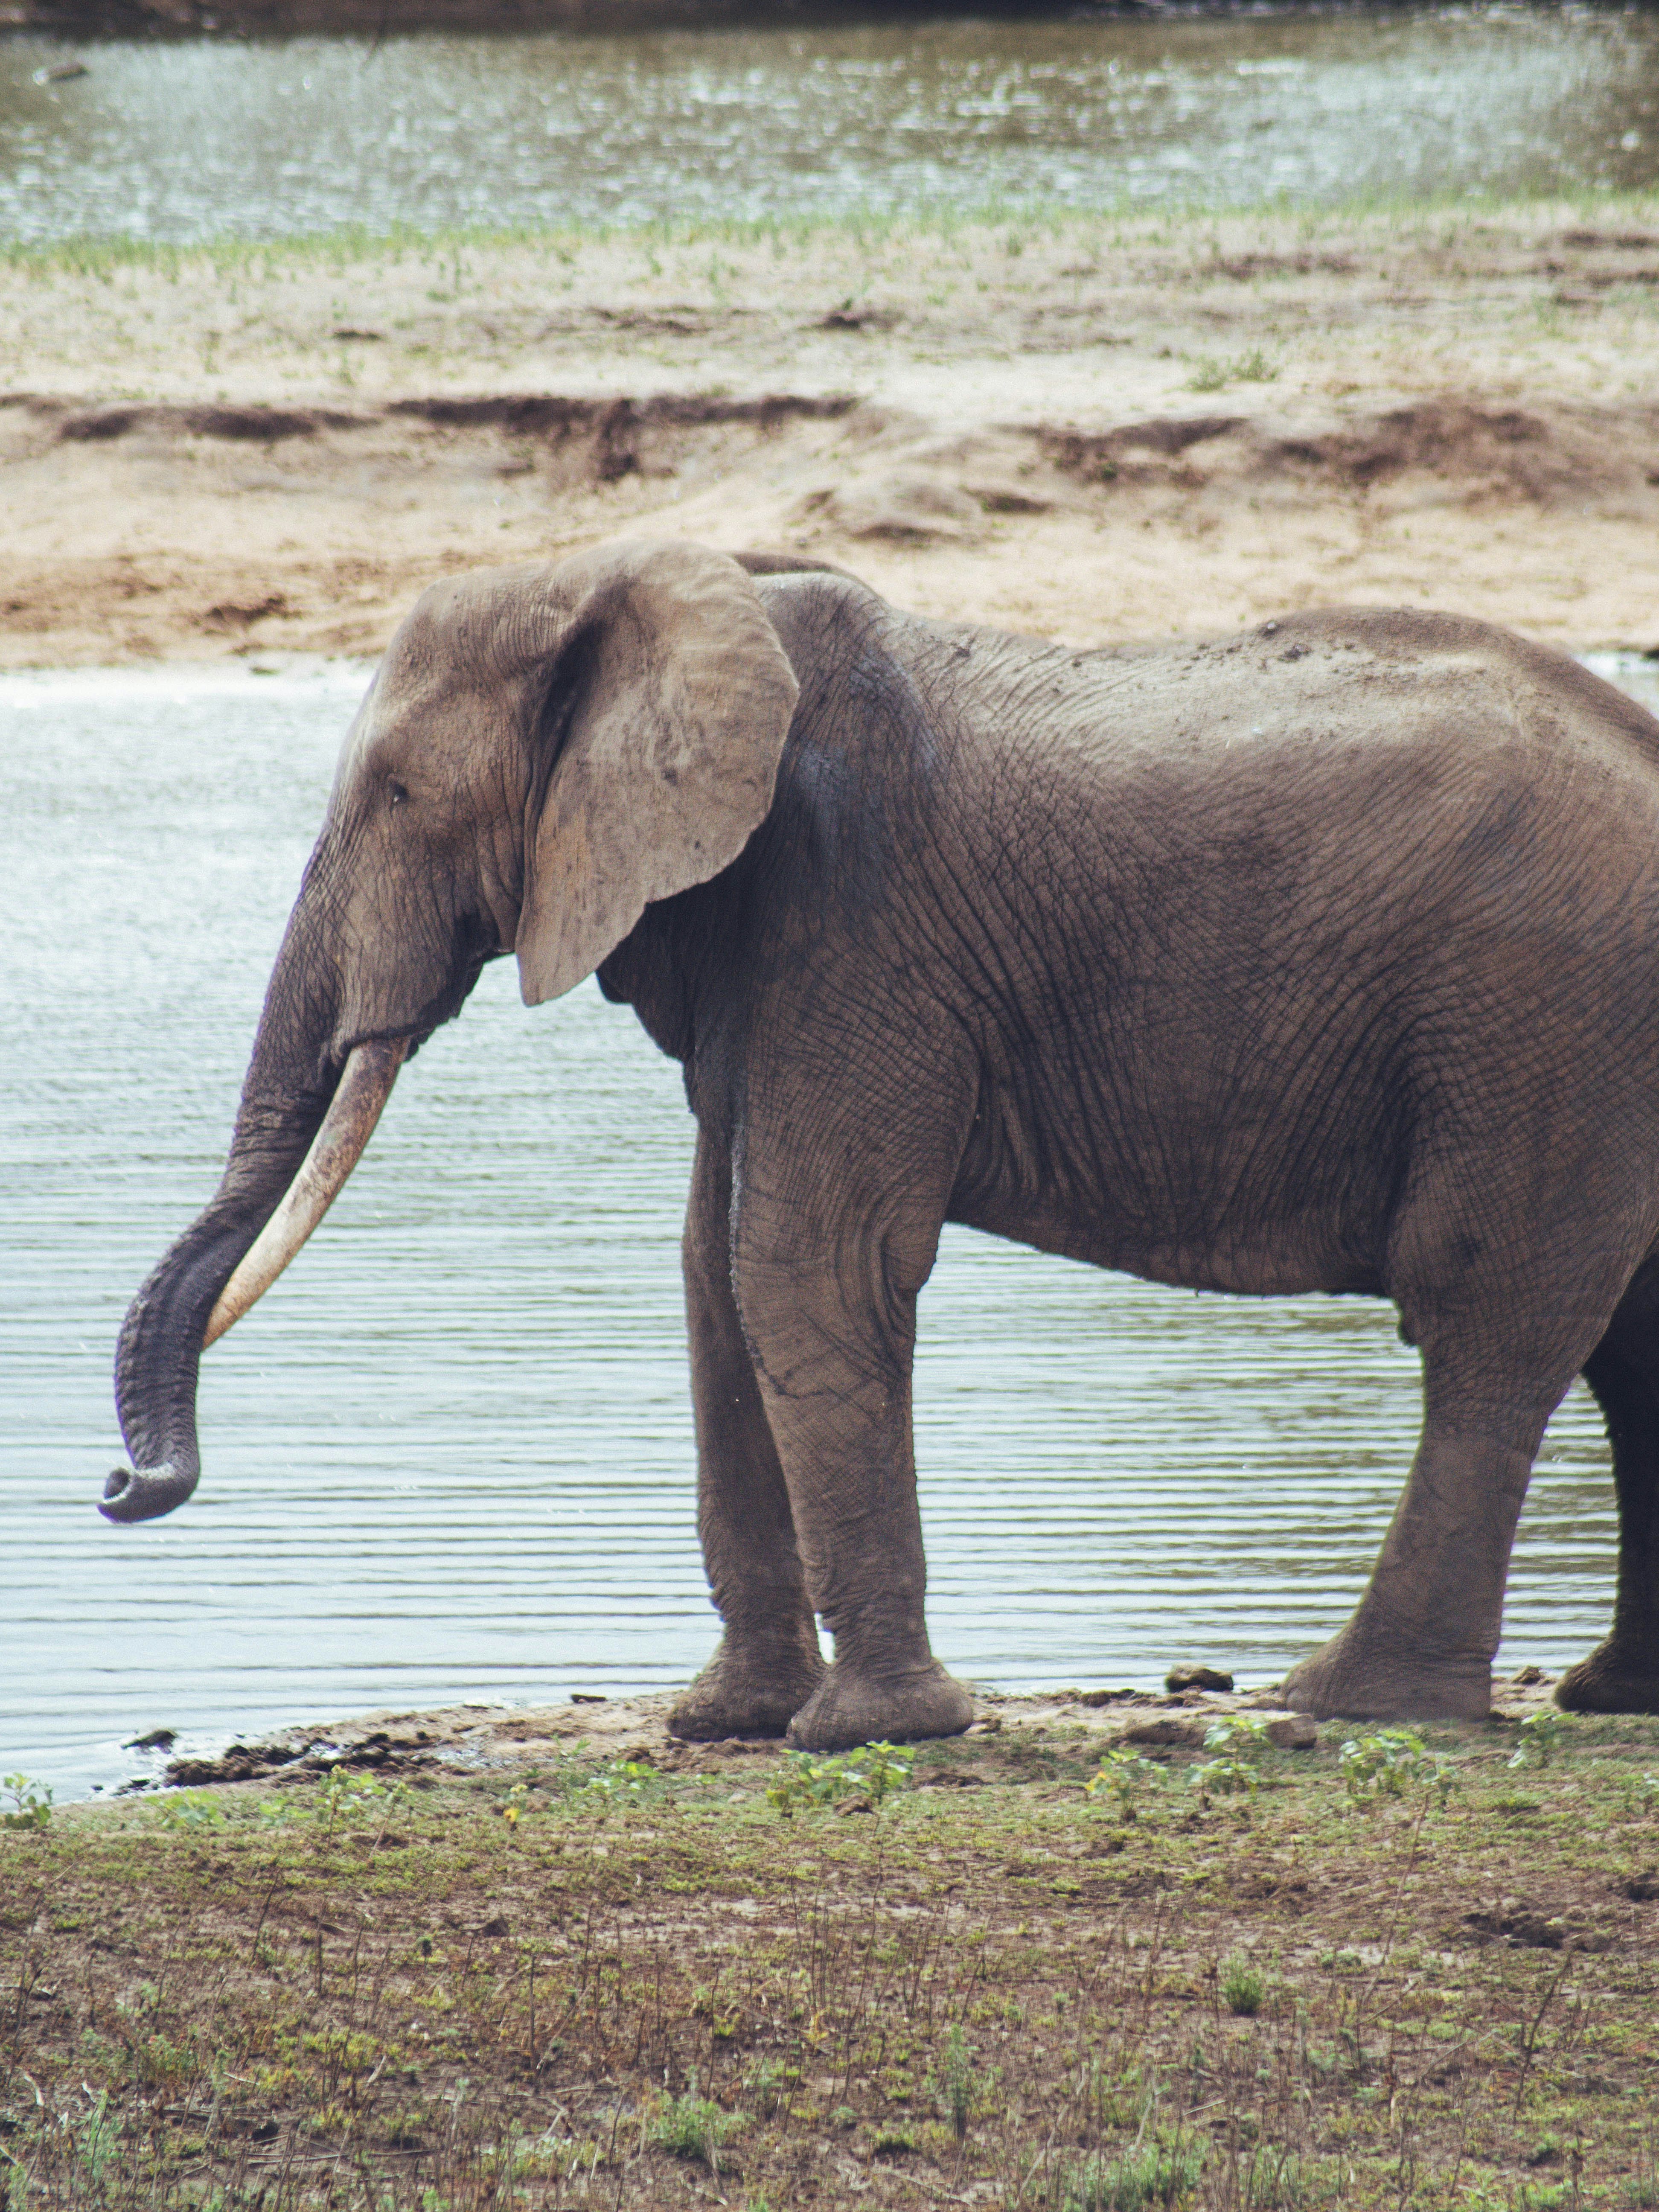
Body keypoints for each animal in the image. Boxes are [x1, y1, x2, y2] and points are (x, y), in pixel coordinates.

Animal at [102, 537, 1659, 1749]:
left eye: (401, 797)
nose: (124, 1490)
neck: (656, 586)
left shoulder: (853, 921)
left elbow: (801, 1263)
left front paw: (871, 1733)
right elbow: (710, 1275)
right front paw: (724, 1722)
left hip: (1537, 1018)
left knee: (1487, 1311)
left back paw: (1351, 1701)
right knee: (1627, 1338)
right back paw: (1603, 1696)